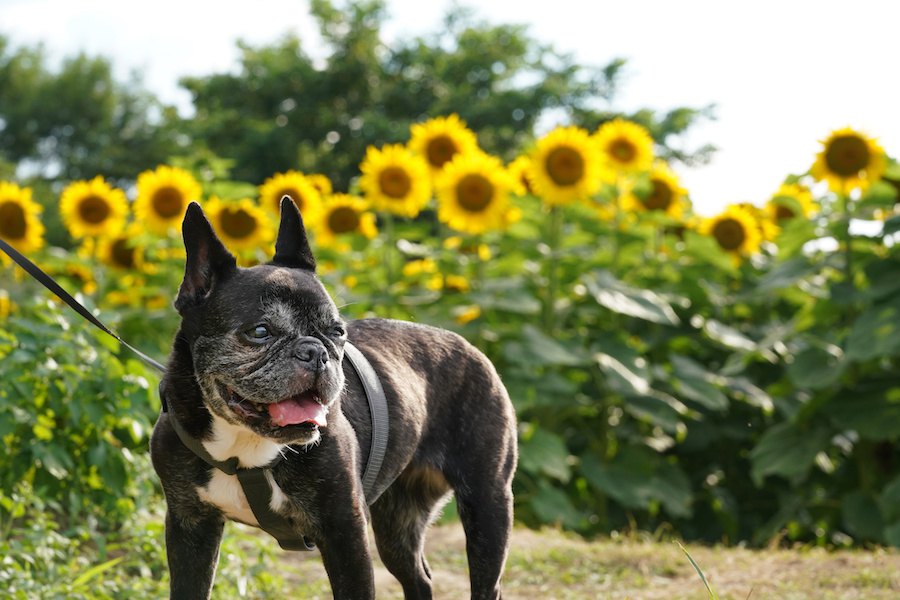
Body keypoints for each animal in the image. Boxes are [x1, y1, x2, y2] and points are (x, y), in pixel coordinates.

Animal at [150, 199, 520, 596]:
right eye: (260, 332)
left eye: (337, 331)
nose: (315, 352)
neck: (245, 449)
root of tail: (470, 347)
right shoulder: (190, 528)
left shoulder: (344, 534)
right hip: (398, 523)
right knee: (417, 578)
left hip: (488, 503)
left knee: (486, 582)